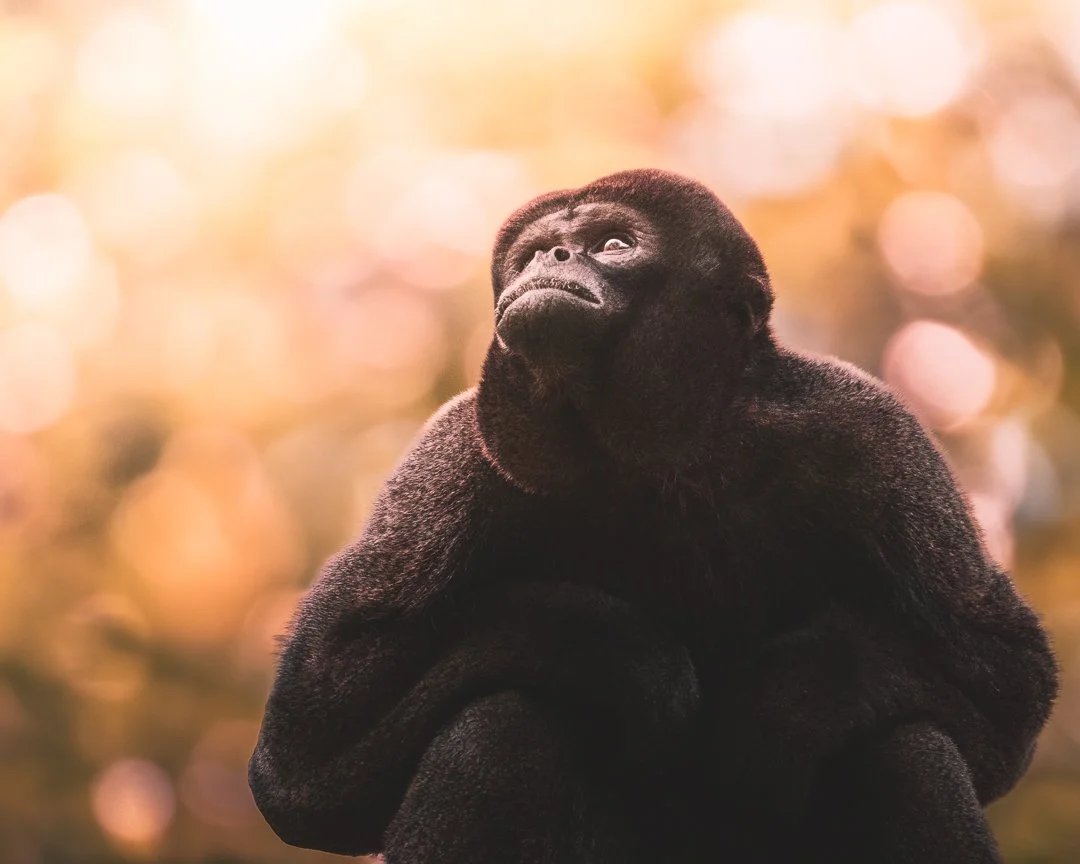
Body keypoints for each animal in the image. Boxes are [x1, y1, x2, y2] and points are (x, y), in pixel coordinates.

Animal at [250, 169, 1057, 863]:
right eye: (535, 252)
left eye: (613, 244)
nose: (555, 256)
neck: (662, 462)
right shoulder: (455, 457)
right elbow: (303, 765)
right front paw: (624, 656)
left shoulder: (871, 432)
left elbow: (1009, 682)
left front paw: (787, 701)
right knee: (495, 722)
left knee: (908, 748)